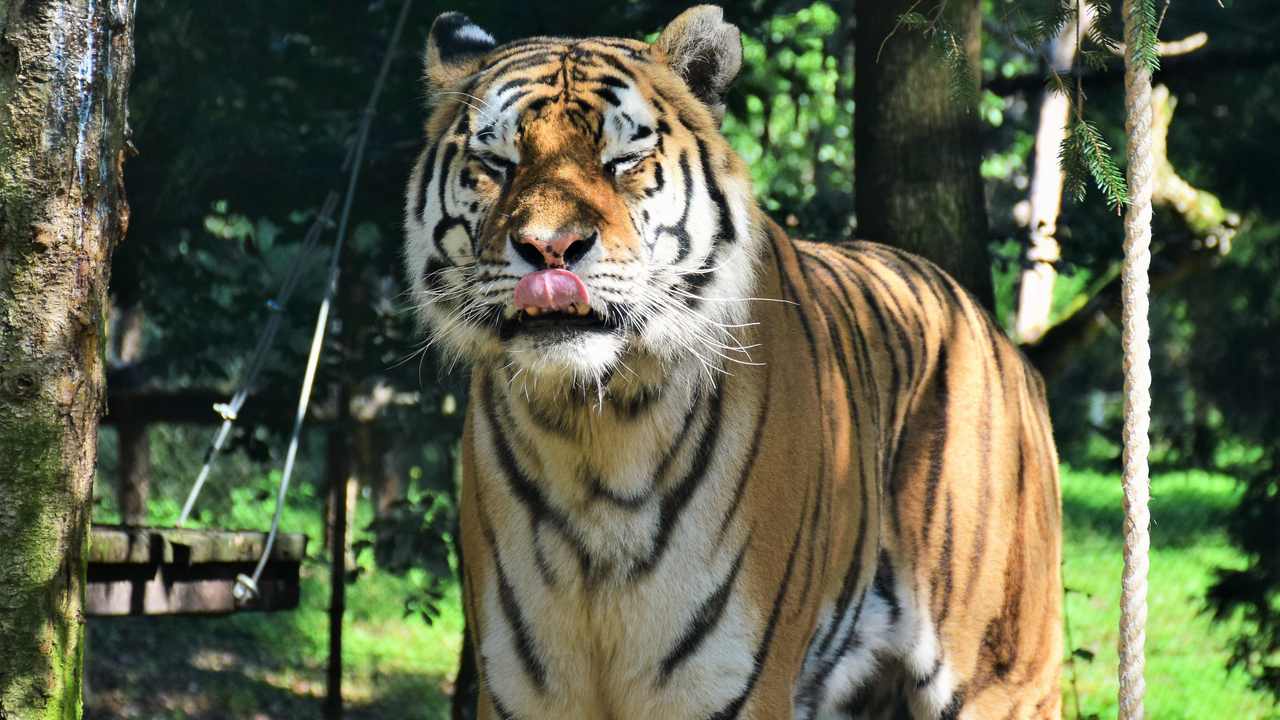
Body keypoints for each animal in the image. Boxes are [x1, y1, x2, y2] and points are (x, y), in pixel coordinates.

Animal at [402, 6, 1062, 719]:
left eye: (622, 160)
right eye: (496, 163)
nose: (550, 249)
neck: (589, 436)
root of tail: (995, 332)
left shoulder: (731, 686)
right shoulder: (519, 689)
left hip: (1005, 676)